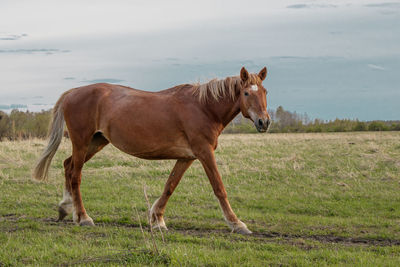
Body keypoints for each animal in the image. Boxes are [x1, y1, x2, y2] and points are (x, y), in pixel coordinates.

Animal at [33, 66, 272, 234]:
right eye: (246, 93)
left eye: (264, 91)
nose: (264, 122)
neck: (204, 107)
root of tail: (73, 92)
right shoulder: (204, 152)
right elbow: (219, 188)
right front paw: (237, 224)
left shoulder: (187, 157)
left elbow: (170, 186)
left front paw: (157, 219)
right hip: (82, 142)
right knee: (75, 175)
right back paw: (83, 218)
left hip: (96, 142)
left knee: (67, 165)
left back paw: (66, 209)